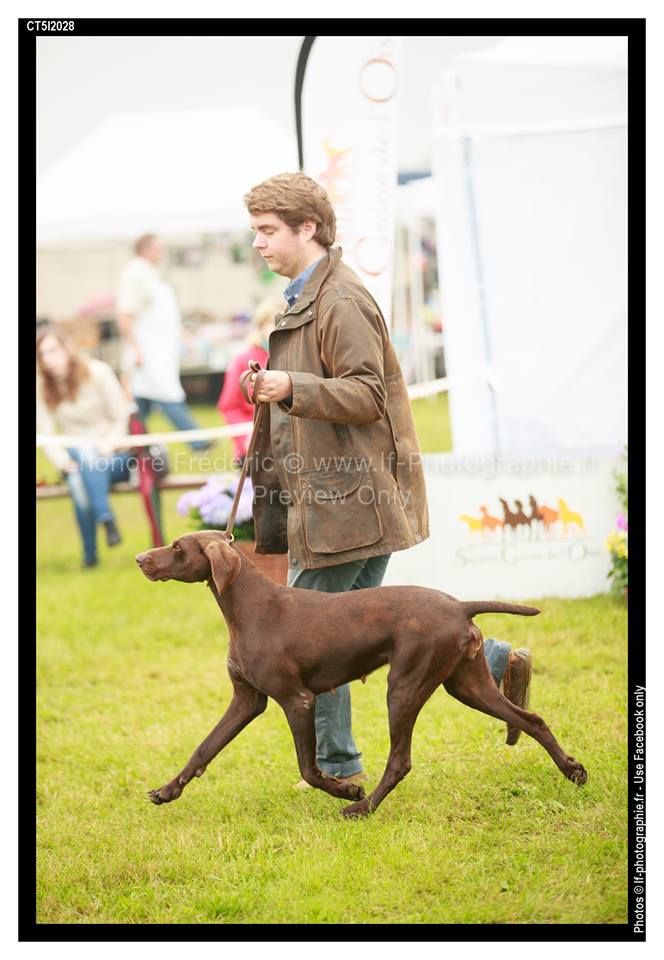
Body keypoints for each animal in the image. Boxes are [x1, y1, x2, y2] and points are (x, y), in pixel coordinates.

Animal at [135, 532, 588, 816]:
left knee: (400, 760)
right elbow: (203, 749)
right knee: (531, 719)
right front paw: (168, 790)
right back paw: (573, 770)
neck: (249, 607)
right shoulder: (246, 701)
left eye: (177, 547)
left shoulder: (297, 700)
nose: (140, 559)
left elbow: (307, 767)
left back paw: (362, 807)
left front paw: (345, 788)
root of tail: (459, 605)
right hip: (467, 684)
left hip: (404, 687)